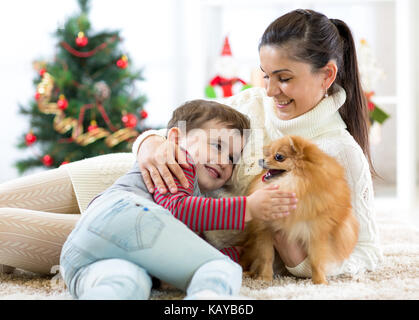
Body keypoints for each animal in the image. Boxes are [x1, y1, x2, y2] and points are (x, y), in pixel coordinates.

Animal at [241, 136, 360, 284]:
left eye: (278, 157)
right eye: (267, 154)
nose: (261, 160)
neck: (297, 183)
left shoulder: (316, 233)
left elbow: (315, 261)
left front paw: (319, 282)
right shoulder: (266, 230)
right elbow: (266, 257)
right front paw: (265, 278)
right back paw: (249, 274)